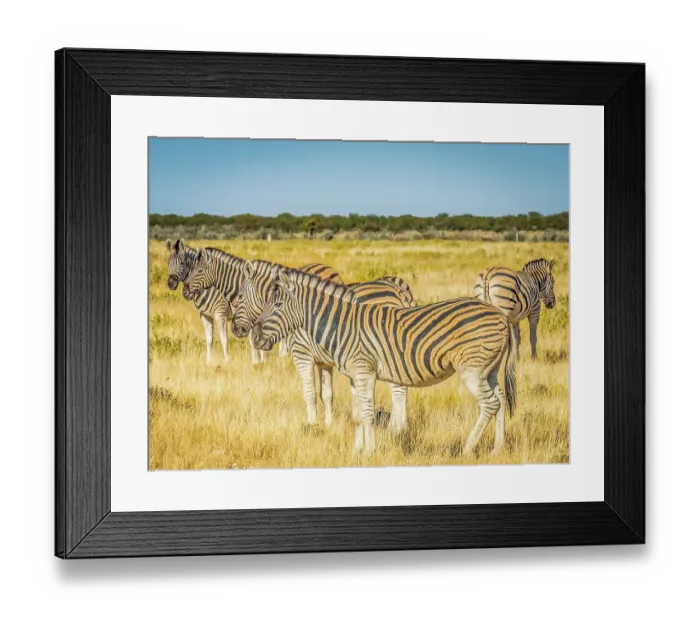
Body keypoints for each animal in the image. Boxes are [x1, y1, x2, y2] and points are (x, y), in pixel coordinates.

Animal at [233, 260, 417, 430]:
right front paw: (329, 425)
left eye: (240, 297)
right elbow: (327, 394)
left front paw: (311, 425)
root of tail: (398, 289)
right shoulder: (323, 361)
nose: (235, 329)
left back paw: (396, 428)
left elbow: (310, 393)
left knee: (399, 389)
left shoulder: (302, 355)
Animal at [252, 268, 517, 456]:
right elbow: (357, 415)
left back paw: (467, 449)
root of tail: (501, 315)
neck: (341, 326)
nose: (254, 336)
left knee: (490, 404)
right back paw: (498, 449)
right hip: (489, 369)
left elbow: (368, 414)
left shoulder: (364, 372)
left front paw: (370, 452)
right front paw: (356, 452)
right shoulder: (354, 377)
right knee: (501, 399)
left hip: (472, 369)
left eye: (277, 305)